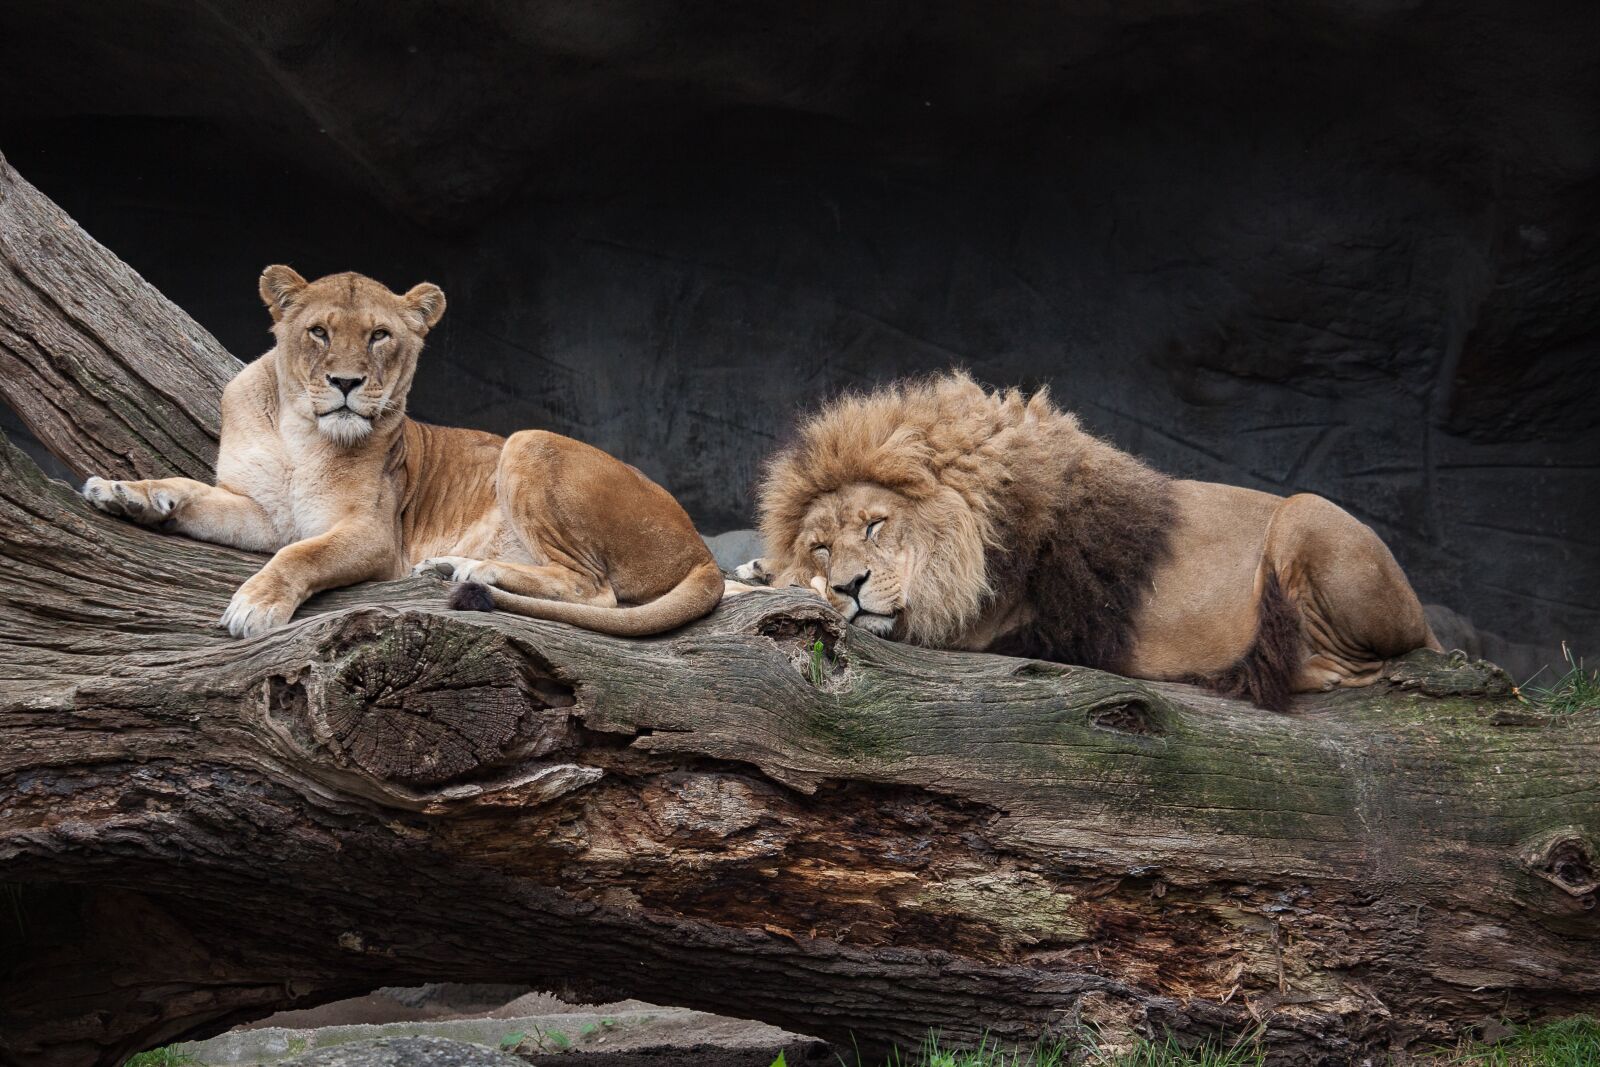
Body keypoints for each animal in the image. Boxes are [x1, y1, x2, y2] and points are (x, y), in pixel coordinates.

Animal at [82, 266, 722, 638]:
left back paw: (471, 568)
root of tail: (701, 549)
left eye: (379, 336)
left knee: (595, 589)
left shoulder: (373, 535)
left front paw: (255, 605)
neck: (300, 434)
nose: (345, 382)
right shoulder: (264, 513)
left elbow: (300, 555)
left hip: (528, 440)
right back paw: (449, 564)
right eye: (318, 332)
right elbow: (190, 491)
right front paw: (124, 493)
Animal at [736, 372, 1439, 710]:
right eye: (822, 546)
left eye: (876, 524)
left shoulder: (992, 627)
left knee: (1362, 663)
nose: (851, 585)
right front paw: (760, 571)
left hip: (1304, 513)